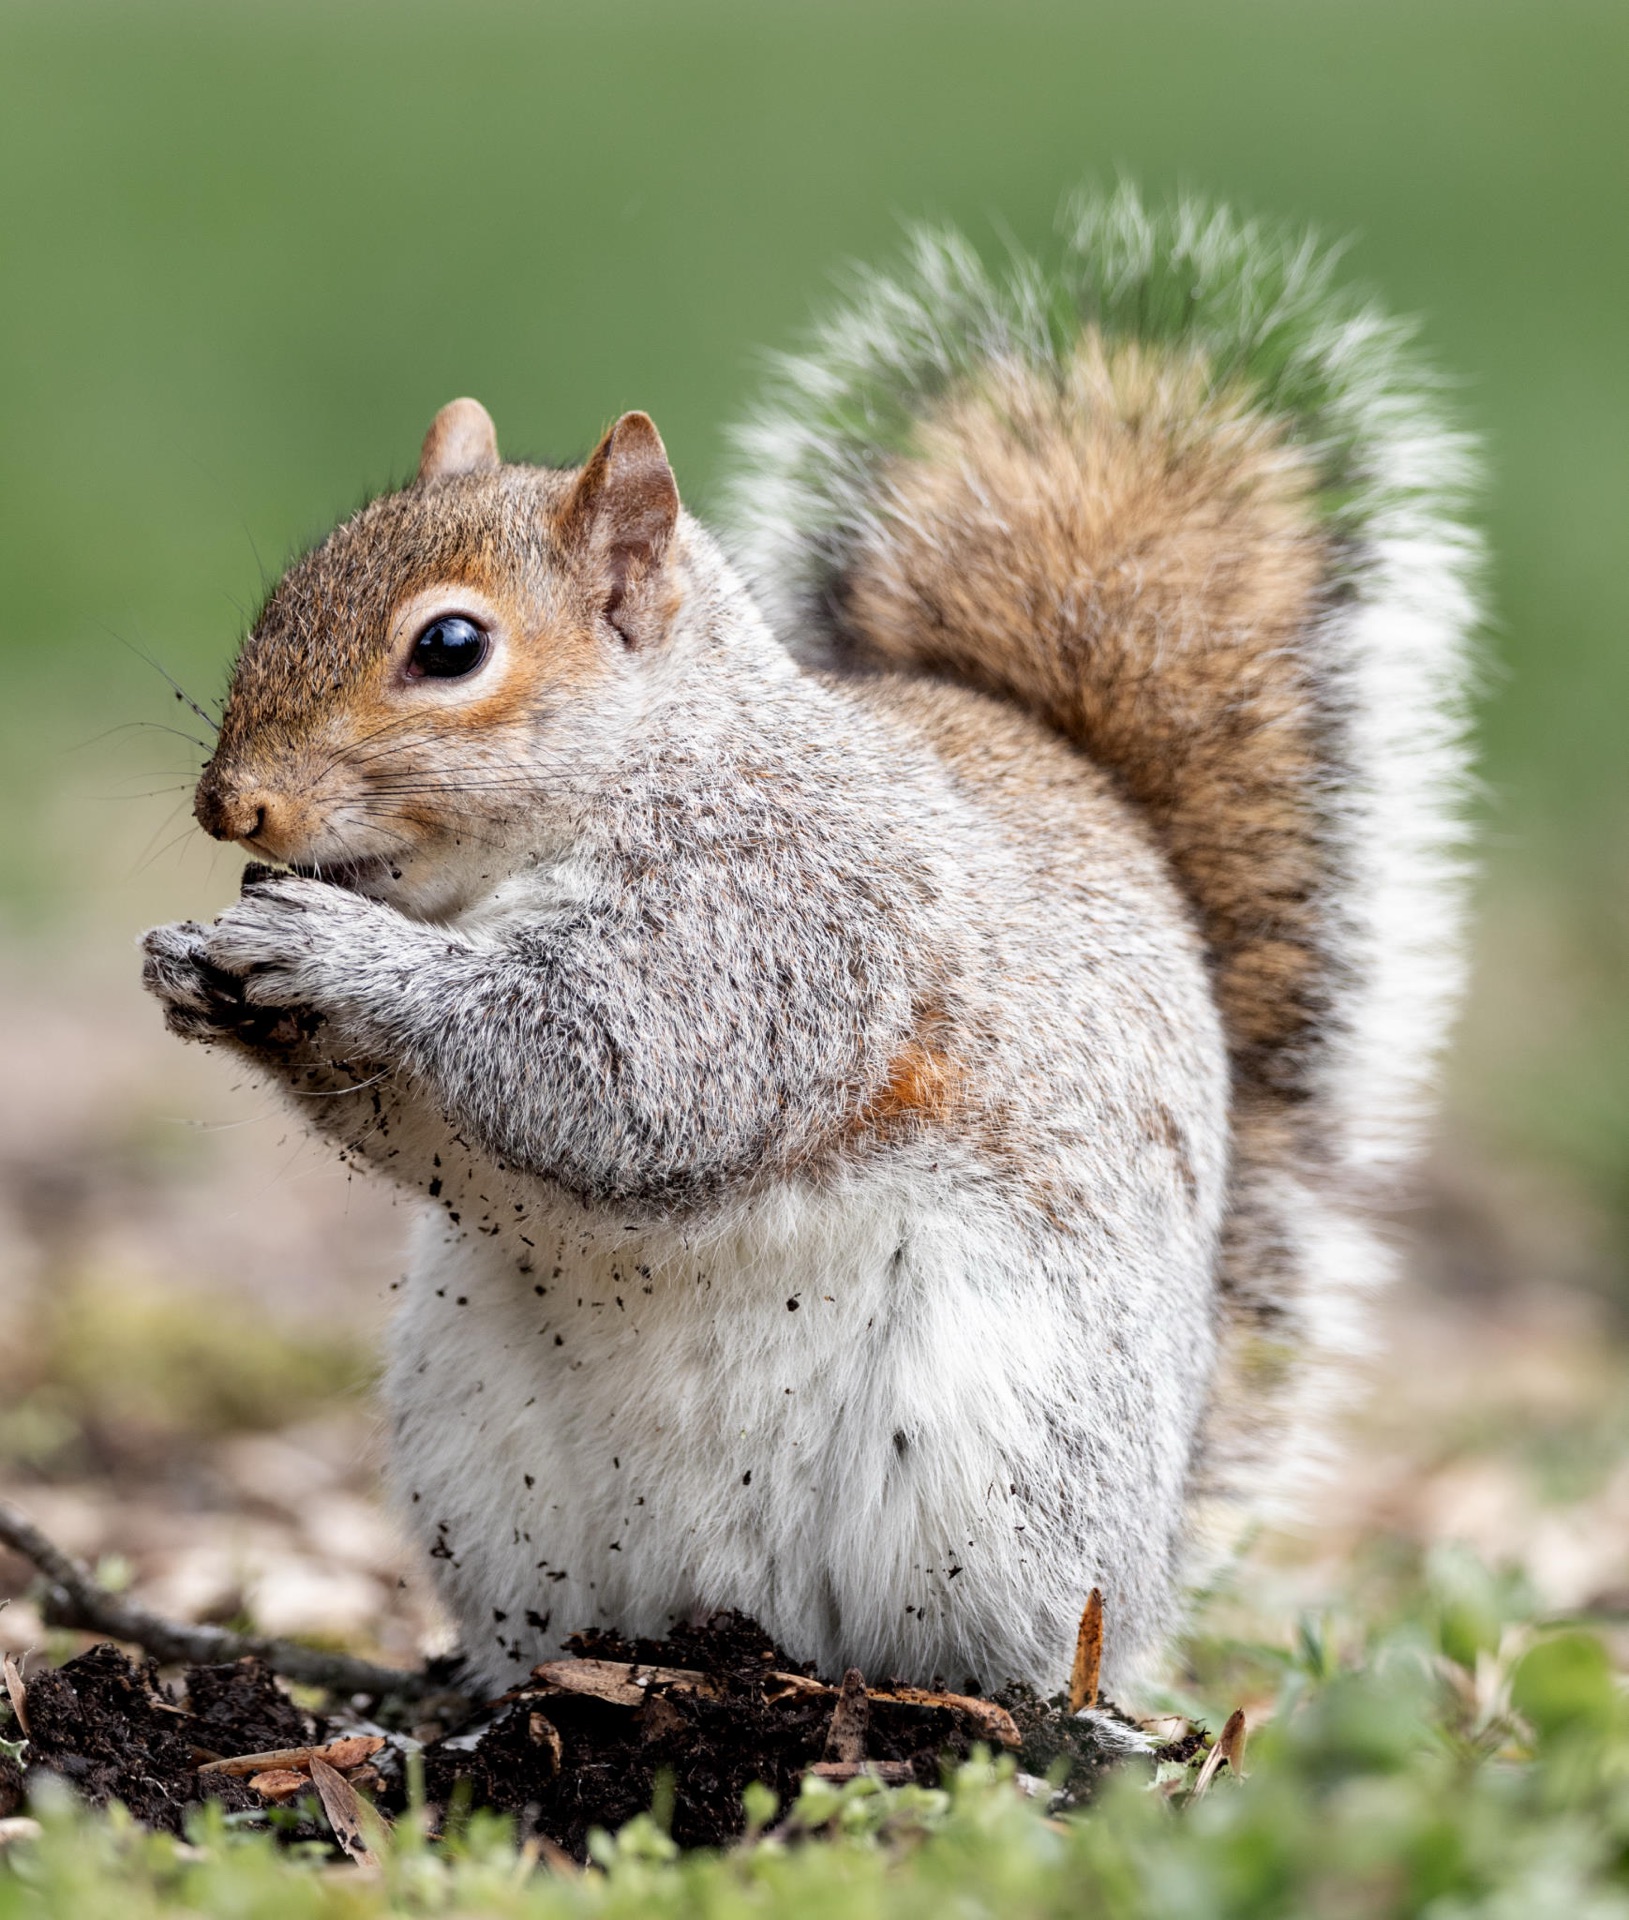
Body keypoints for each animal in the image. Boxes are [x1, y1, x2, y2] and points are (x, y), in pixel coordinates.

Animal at [140, 187, 1477, 1700]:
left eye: (451, 647)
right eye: (283, 596)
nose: (230, 804)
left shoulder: (788, 923)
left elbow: (622, 1073)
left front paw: (337, 955)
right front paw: (194, 968)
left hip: (1007, 1465)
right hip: (477, 1455)